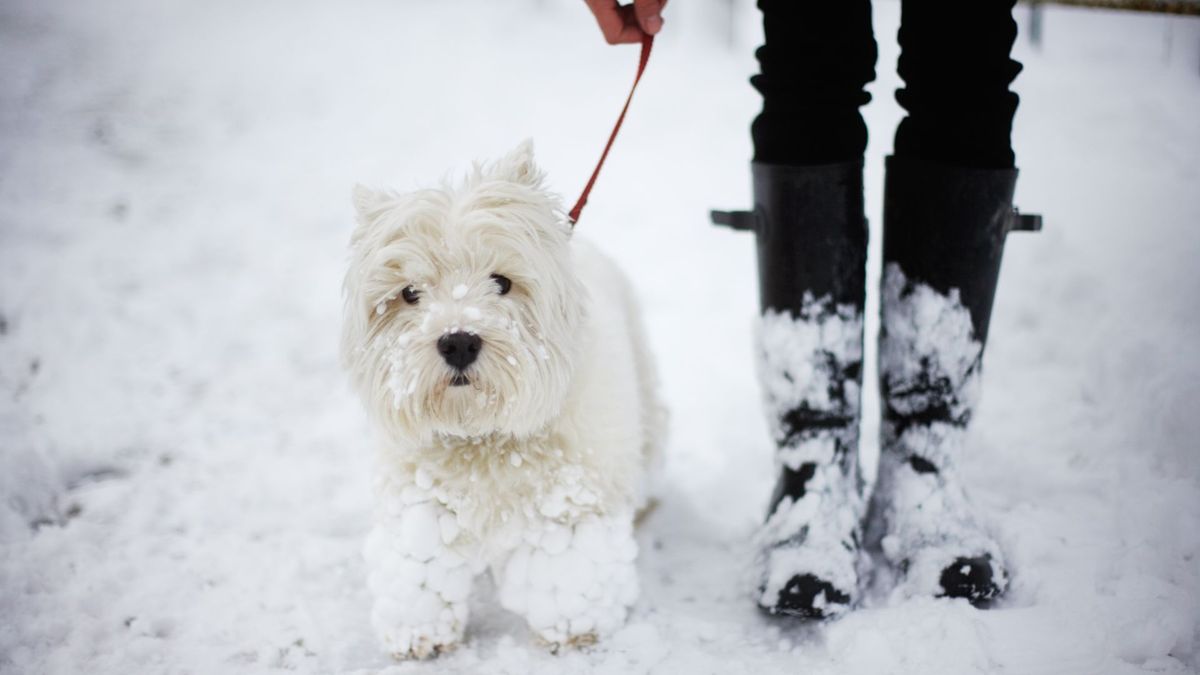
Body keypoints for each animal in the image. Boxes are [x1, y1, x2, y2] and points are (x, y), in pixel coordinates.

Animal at [343, 139, 672, 653]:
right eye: (410, 293)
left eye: (501, 281)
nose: (458, 342)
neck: (482, 437)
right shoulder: (418, 497)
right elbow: (418, 565)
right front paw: (418, 632)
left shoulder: (568, 500)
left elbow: (568, 569)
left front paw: (574, 627)